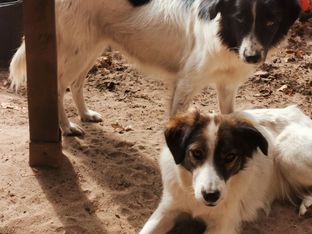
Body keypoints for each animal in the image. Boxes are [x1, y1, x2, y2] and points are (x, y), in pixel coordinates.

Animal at [9, 0, 302, 135]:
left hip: (92, 47)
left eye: (270, 22)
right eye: (240, 18)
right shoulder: (186, 82)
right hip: (77, 48)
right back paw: (67, 127)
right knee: (59, 86)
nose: (252, 56)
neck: (225, 35)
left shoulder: (227, 85)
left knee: (76, 83)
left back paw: (85, 115)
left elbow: (229, 115)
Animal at [141, 106, 312, 234]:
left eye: (230, 156)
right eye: (197, 153)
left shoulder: (223, 223)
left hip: (286, 151)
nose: (211, 196)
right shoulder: (169, 207)